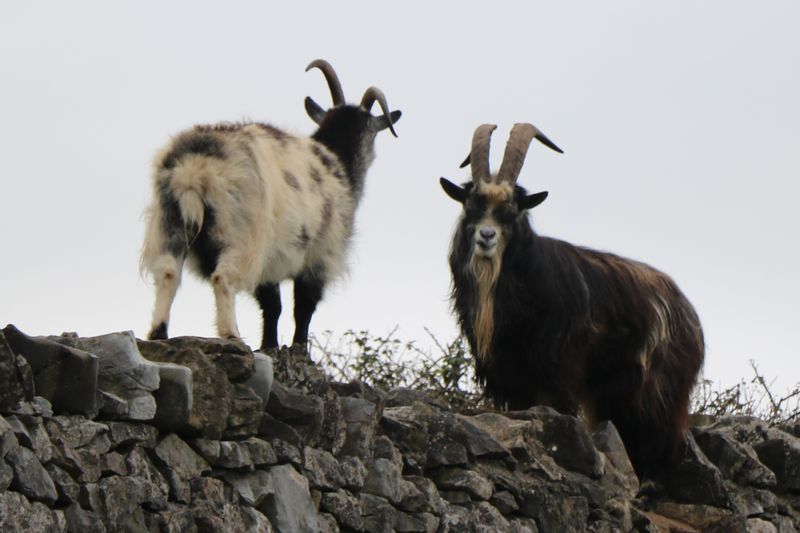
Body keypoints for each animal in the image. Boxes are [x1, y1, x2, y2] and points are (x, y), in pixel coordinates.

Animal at [141, 60, 400, 350]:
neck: (337, 160)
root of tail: (195, 169)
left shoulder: (272, 261)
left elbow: (272, 306)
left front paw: (269, 345)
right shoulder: (319, 255)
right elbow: (303, 307)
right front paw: (298, 349)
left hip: (171, 221)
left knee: (168, 273)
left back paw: (158, 332)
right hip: (241, 233)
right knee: (223, 278)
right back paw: (231, 334)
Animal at [440, 123, 704, 478]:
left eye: (511, 211)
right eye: (471, 207)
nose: (486, 236)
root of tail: (689, 313)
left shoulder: (556, 371)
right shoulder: (512, 375)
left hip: (656, 390)